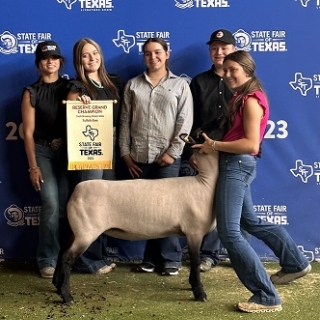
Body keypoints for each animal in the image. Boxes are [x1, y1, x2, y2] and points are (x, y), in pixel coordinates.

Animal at [53, 133, 220, 304]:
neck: (204, 184)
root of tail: (76, 192)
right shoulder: (194, 231)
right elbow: (195, 261)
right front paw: (200, 293)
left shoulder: (193, 233)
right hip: (86, 232)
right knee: (67, 258)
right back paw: (66, 296)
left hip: (77, 230)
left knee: (61, 252)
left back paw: (57, 286)